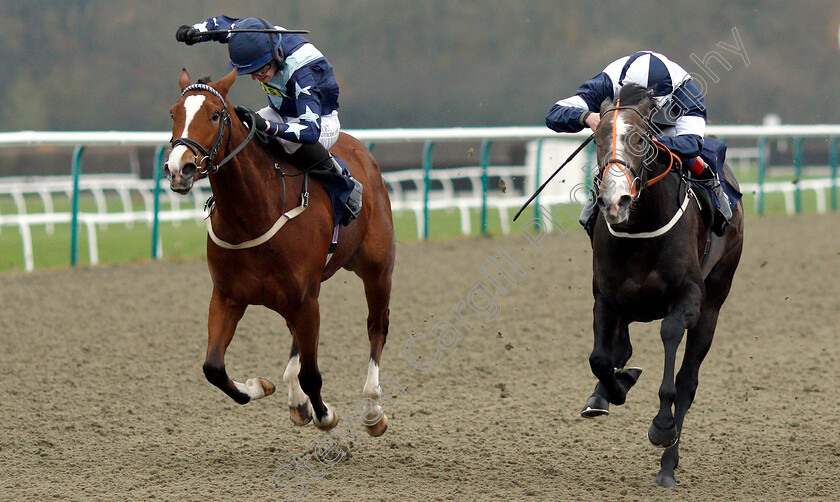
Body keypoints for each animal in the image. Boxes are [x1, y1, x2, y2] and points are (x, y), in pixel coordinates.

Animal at [168, 68, 400, 438]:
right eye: (174, 113)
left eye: (216, 115)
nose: (180, 168)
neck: (253, 212)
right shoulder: (228, 296)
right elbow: (213, 368)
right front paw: (260, 386)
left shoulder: (306, 300)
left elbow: (312, 375)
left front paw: (325, 415)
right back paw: (297, 400)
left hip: (377, 270)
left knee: (377, 327)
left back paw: (373, 409)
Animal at [584, 84, 740, 488]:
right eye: (596, 139)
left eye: (640, 138)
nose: (615, 200)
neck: (641, 231)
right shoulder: (605, 298)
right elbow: (600, 358)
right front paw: (614, 388)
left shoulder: (689, 297)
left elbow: (670, 342)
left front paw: (662, 425)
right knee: (619, 348)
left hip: (714, 303)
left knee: (688, 381)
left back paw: (668, 465)